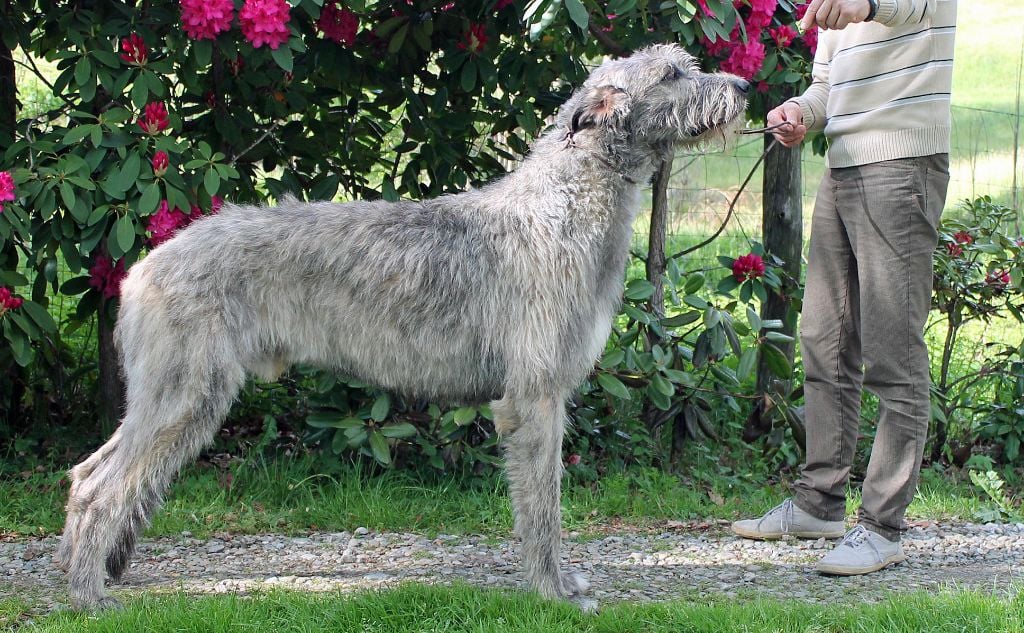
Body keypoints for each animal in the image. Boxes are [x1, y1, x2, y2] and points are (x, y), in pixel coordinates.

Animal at [56, 43, 749, 606]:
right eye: (672, 74)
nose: (744, 86)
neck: (566, 200)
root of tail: (143, 267)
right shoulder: (535, 396)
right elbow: (543, 508)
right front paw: (553, 591)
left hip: (170, 394)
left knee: (87, 472)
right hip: (186, 392)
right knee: (101, 488)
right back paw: (89, 595)